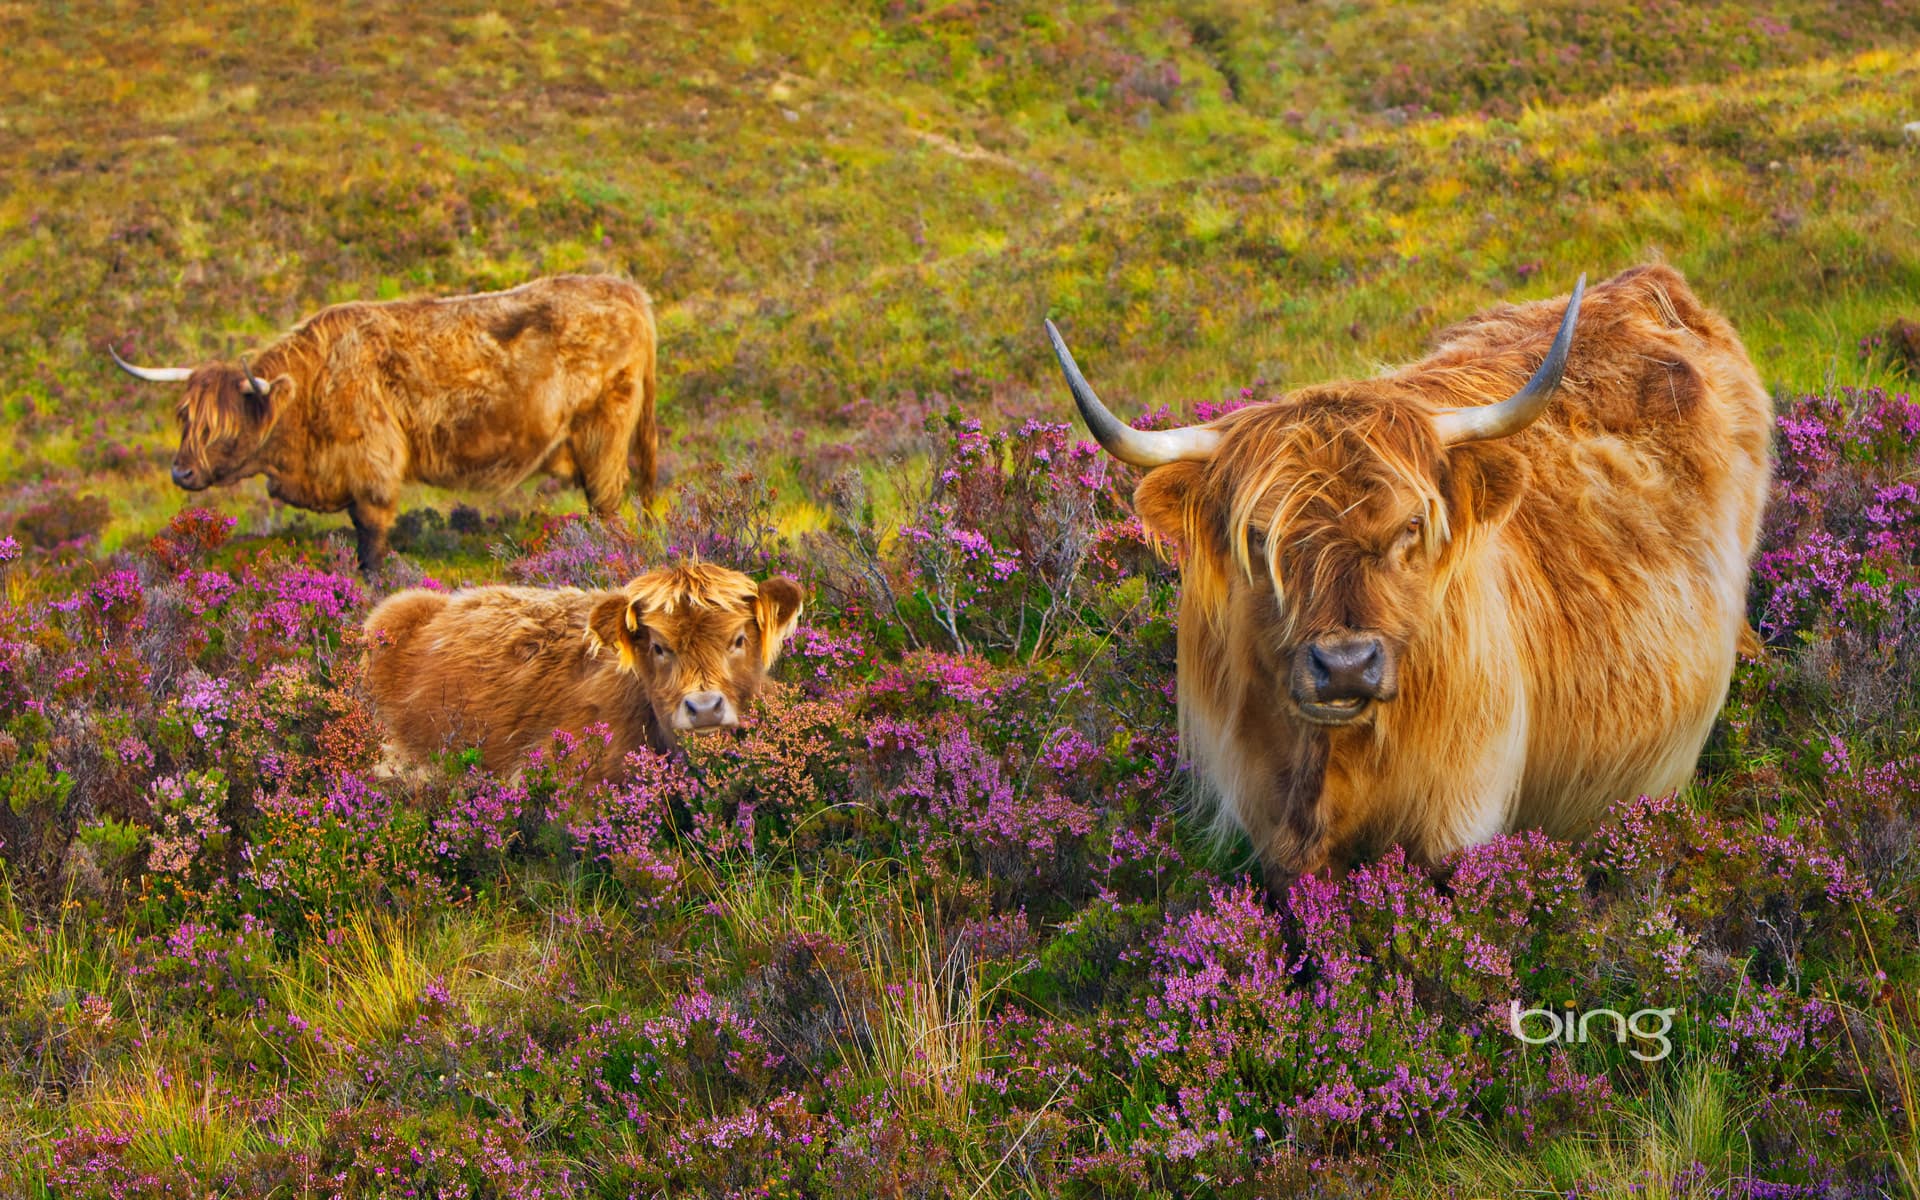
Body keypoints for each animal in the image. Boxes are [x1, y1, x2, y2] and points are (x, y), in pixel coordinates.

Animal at [110, 273, 658, 572]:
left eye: (219, 427)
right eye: (185, 418)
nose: (181, 472)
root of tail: (629, 291)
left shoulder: (371, 464)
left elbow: (370, 539)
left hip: (603, 433)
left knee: (608, 505)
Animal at [1044, 264, 1772, 895]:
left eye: (1411, 528)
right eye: (1258, 537)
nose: (1344, 666)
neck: (1330, 767)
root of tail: (1648, 280)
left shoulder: (1459, 822)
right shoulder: (1271, 831)